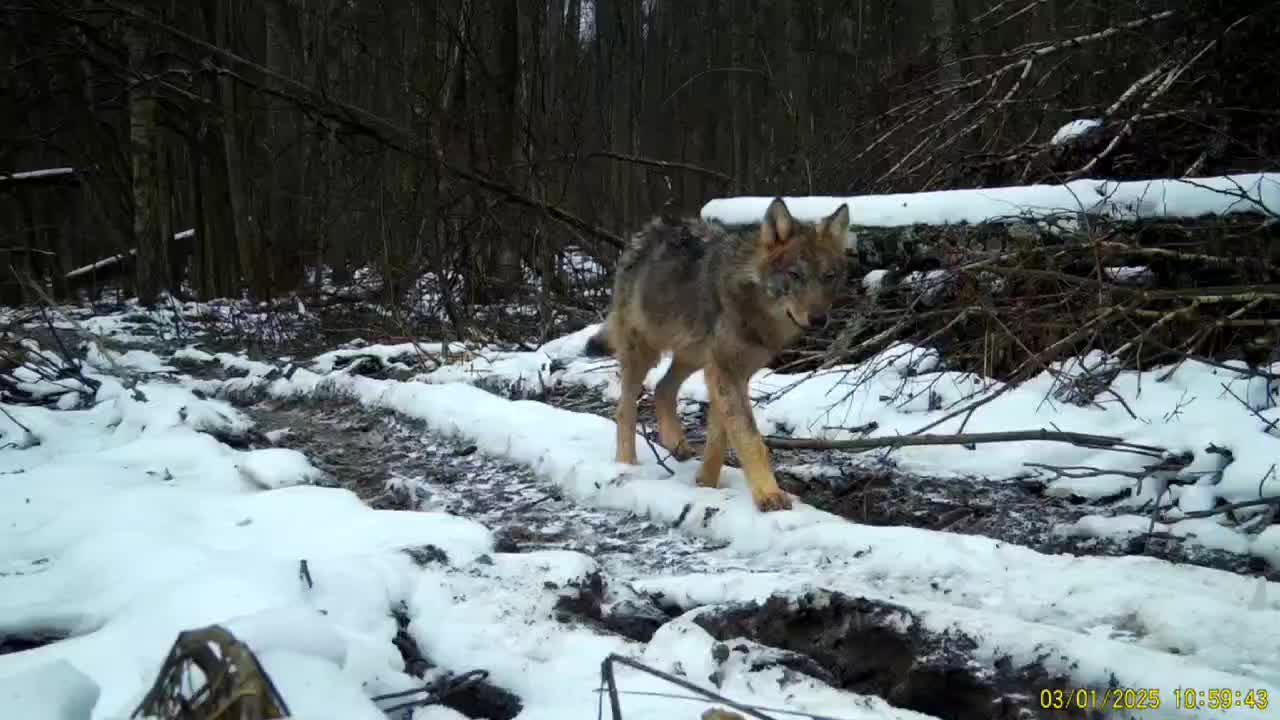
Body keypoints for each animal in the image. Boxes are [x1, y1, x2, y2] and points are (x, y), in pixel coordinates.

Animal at [583, 196, 849, 509]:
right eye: (795, 275)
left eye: (829, 277)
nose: (819, 319)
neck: (754, 307)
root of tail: (650, 230)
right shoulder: (725, 371)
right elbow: (749, 437)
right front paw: (769, 495)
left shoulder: (734, 374)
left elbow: (719, 437)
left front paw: (706, 484)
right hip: (645, 354)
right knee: (625, 409)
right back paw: (627, 464)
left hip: (693, 356)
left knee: (662, 388)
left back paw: (676, 444)